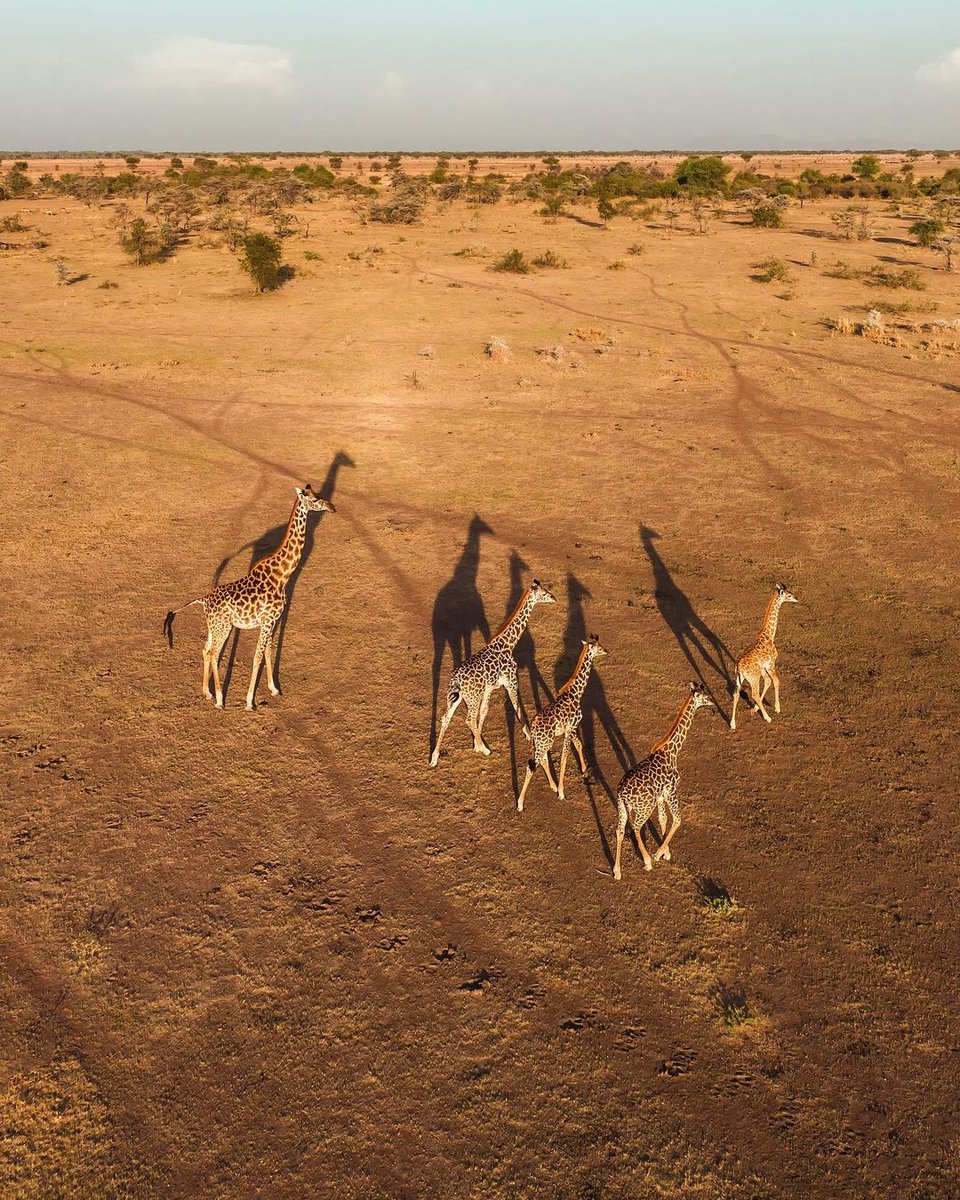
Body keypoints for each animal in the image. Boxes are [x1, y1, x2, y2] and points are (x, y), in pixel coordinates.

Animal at [162, 487, 333, 705]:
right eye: (315, 499)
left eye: (319, 494)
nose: (332, 507)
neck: (283, 575)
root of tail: (204, 600)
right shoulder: (268, 620)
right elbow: (257, 657)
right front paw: (250, 702)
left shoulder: (272, 620)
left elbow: (268, 650)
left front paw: (274, 689)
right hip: (224, 627)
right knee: (214, 653)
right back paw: (219, 699)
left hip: (214, 627)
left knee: (205, 650)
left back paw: (207, 692)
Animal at [429, 580, 554, 768]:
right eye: (544, 593)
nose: (554, 598)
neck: (509, 644)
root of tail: (457, 680)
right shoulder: (511, 682)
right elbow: (518, 709)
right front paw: (528, 736)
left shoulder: (489, 688)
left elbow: (484, 712)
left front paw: (476, 743)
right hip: (471, 697)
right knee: (468, 719)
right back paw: (486, 750)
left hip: (456, 697)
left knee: (446, 718)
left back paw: (434, 758)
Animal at [518, 633, 607, 811]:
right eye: (599, 647)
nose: (607, 651)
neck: (576, 693)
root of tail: (533, 727)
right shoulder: (571, 728)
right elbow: (565, 757)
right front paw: (561, 792)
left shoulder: (570, 728)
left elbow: (578, 745)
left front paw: (584, 770)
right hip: (544, 742)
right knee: (531, 765)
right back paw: (520, 803)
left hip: (543, 742)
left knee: (543, 759)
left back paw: (552, 785)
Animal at [614, 681, 710, 878]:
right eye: (705, 696)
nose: (712, 702)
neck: (673, 750)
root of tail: (622, 793)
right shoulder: (671, 790)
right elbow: (678, 819)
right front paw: (659, 854)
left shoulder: (660, 795)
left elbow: (663, 819)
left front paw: (665, 851)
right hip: (644, 807)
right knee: (636, 827)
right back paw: (648, 861)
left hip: (622, 807)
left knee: (619, 830)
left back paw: (617, 871)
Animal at [729, 583, 796, 729]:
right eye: (789, 595)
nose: (796, 599)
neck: (769, 635)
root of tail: (739, 667)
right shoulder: (771, 663)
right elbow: (776, 681)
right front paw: (777, 708)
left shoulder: (764, 667)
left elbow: (768, 682)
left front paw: (754, 709)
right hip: (753, 678)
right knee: (754, 694)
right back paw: (767, 717)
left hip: (739, 679)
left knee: (736, 694)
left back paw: (732, 723)